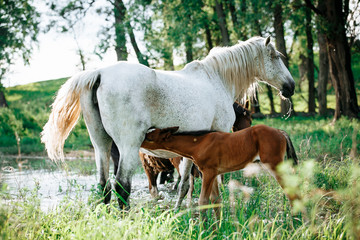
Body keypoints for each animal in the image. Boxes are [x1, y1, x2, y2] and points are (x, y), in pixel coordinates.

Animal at [40, 37, 294, 208]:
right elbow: (207, 183)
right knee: (122, 186)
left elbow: (185, 184)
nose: (290, 87)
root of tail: (100, 73)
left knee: (104, 186)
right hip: (128, 148)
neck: (216, 79)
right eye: (275, 57)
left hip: (101, 146)